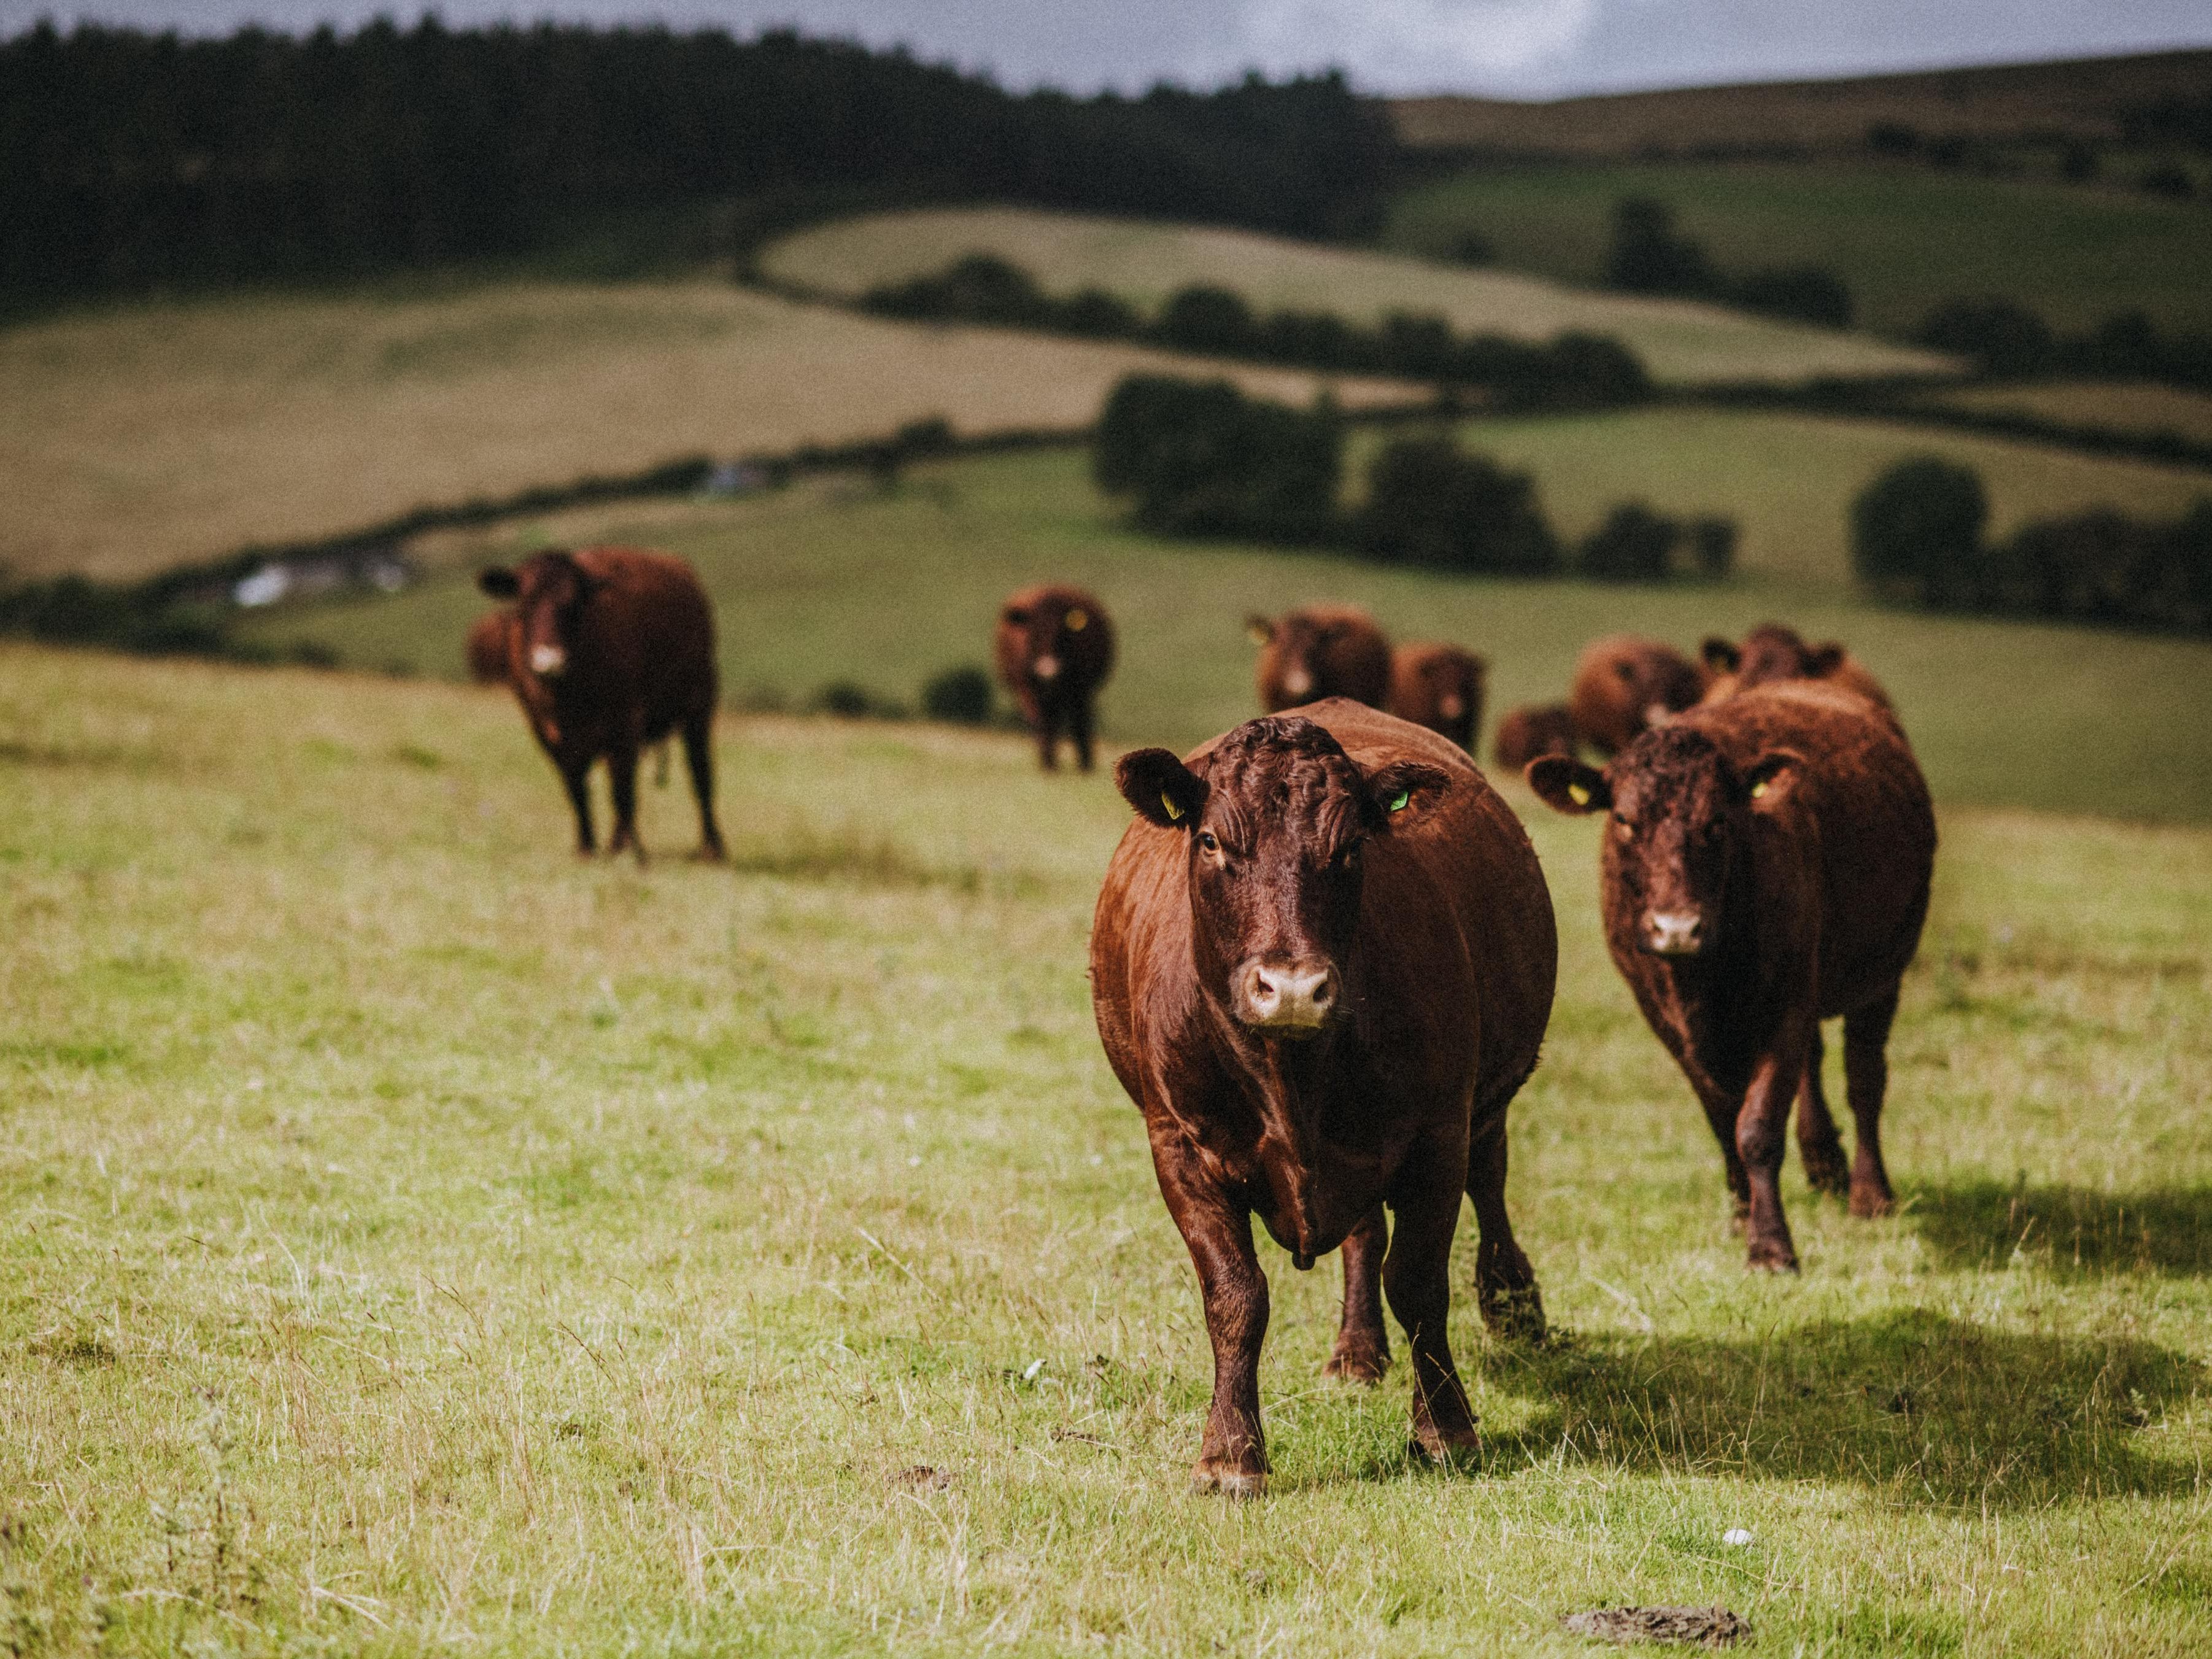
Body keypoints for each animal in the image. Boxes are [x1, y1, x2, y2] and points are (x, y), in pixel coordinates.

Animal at [476, 547, 724, 863]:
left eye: (572, 606)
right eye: (524, 603)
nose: (549, 661)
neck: (565, 698)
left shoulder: (625, 722)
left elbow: (622, 790)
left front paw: (632, 852)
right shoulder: (547, 733)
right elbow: (577, 789)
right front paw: (586, 846)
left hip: (698, 705)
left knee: (700, 773)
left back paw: (712, 847)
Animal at [993, 584, 1116, 772]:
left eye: (1062, 634)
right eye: (1034, 635)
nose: (1048, 670)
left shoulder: (1081, 691)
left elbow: (1079, 724)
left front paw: (1085, 765)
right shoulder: (1027, 690)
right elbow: (1043, 724)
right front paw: (1049, 764)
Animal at [1092, 700, 1556, 1494]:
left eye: (1350, 846)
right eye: (1212, 840)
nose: (1291, 988)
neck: (1291, 1076)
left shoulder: (1437, 1135)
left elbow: (1420, 1284)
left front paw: (1445, 1428)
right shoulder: (1178, 1144)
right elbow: (1236, 1296)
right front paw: (1230, 1453)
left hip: (1484, 1106)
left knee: (1489, 1186)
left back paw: (1515, 1306)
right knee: (1364, 1235)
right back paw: (1357, 1351)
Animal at [1527, 681, 1935, 1272]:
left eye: (1718, 820)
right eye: (1624, 819)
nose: (1677, 927)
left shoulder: (1786, 1003)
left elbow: (1758, 1127)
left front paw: (1770, 1244)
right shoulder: (1665, 1017)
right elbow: (1723, 1120)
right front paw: (1743, 1216)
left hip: (1883, 972)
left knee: (1865, 1078)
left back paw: (1869, 1192)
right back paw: (1824, 1163)